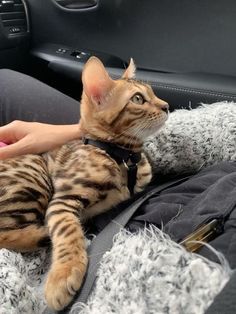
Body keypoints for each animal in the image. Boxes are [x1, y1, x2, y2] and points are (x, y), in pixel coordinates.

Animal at [0, 55, 169, 310]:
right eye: (138, 99)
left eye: (154, 92)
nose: (167, 106)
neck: (119, 156)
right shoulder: (62, 200)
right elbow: (67, 231)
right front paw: (63, 275)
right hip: (34, 175)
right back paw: (41, 233)